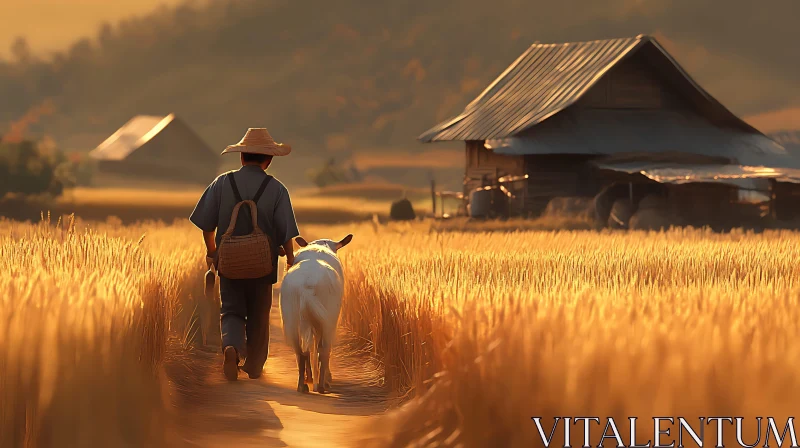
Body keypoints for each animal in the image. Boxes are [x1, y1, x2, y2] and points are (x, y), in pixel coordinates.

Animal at [280, 234, 352, 392]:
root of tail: (307, 286)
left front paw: (310, 377)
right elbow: (320, 349)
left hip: (291, 318)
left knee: (300, 350)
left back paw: (303, 384)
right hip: (328, 319)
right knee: (323, 349)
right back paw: (322, 385)